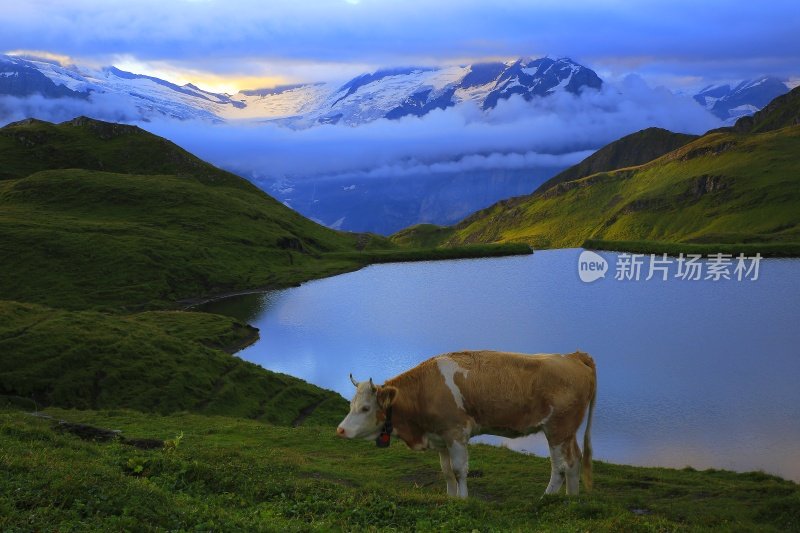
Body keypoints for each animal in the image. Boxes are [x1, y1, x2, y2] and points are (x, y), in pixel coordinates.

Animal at [334, 352, 596, 496]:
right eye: (351, 404)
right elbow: (447, 472)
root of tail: (573, 355)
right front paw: (450, 498)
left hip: (558, 428)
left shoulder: (456, 433)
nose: (340, 429)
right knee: (573, 461)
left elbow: (460, 470)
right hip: (567, 431)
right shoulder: (440, 438)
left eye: (366, 408)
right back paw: (569, 500)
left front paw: (463, 500)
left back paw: (550, 498)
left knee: (562, 465)